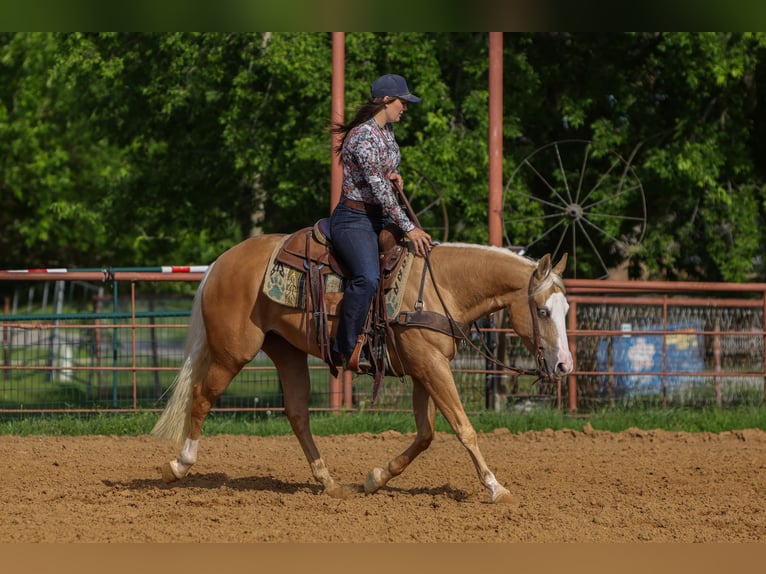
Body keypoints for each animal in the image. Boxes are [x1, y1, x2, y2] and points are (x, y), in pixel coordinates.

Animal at [151, 233, 573, 504]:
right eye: (542, 311)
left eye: (566, 309)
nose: (564, 365)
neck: (439, 288)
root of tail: (219, 264)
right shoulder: (432, 367)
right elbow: (463, 428)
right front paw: (495, 488)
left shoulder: (423, 369)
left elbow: (426, 434)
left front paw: (375, 479)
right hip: (232, 353)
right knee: (202, 397)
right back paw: (178, 466)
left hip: (286, 352)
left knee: (297, 413)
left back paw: (329, 482)